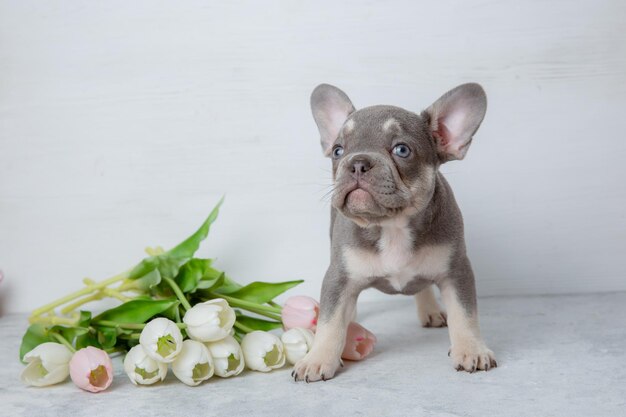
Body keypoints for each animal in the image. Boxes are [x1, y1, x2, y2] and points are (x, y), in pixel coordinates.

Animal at [292, 82, 498, 380]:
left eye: (402, 150)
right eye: (338, 151)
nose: (357, 162)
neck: (391, 226)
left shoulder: (456, 270)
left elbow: (464, 314)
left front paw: (471, 349)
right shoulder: (338, 276)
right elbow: (330, 322)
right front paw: (317, 359)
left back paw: (430, 310)